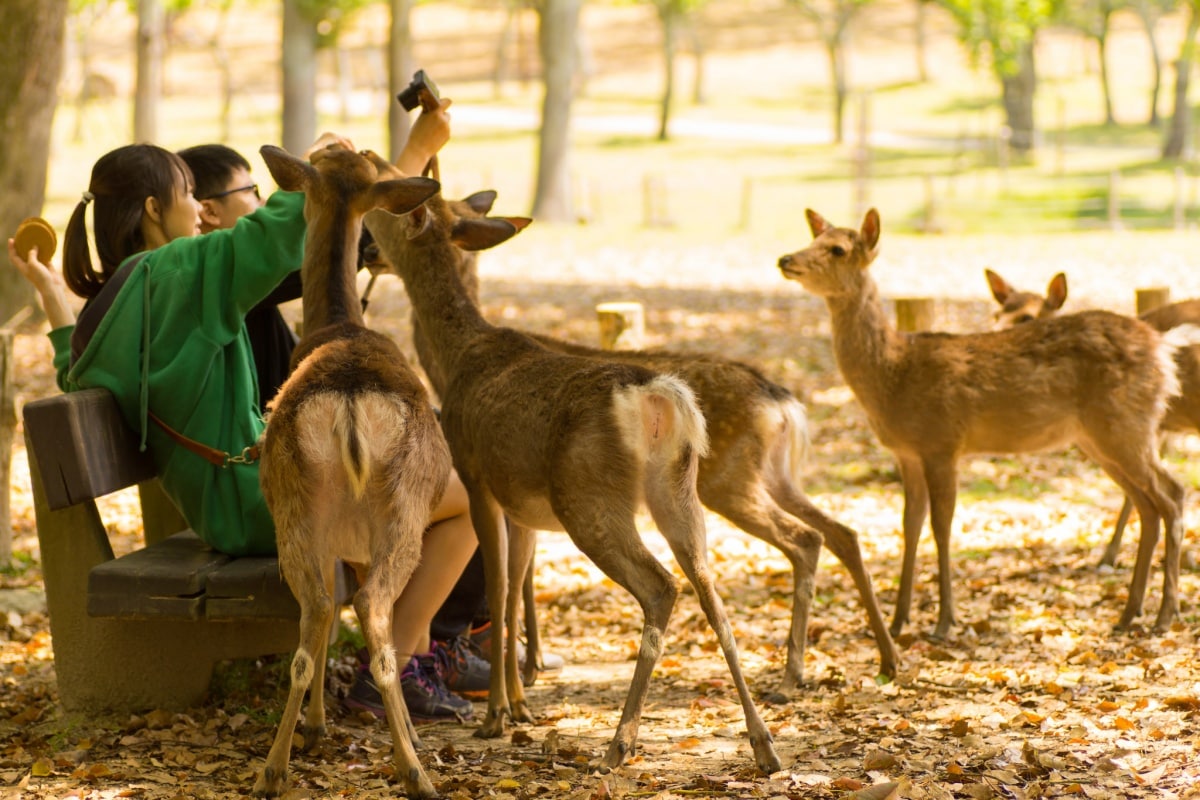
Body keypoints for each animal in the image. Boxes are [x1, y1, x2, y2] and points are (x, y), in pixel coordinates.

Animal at [253, 145, 446, 800]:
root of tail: (350, 397)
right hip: (399, 512)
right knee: (369, 612)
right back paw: (411, 770)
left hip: (296, 507)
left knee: (317, 612)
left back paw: (274, 769)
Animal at [360, 179, 782, 777]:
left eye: (393, 213)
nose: (367, 248)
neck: (458, 360)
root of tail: (658, 399)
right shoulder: (520, 505)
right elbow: (514, 589)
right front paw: (520, 705)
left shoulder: (477, 476)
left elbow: (497, 585)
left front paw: (497, 717)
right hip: (678, 489)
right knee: (712, 595)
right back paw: (763, 745)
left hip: (587, 493)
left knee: (661, 586)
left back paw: (619, 744)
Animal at [393, 189, 902, 695]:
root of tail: (781, 401)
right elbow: (524, 573)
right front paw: (531, 665)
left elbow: (517, 577)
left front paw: (527, 671)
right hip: (770, 476)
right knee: (839, 533)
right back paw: (885, 658)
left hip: (726, 481)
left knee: (801, 540)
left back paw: (798, 672)